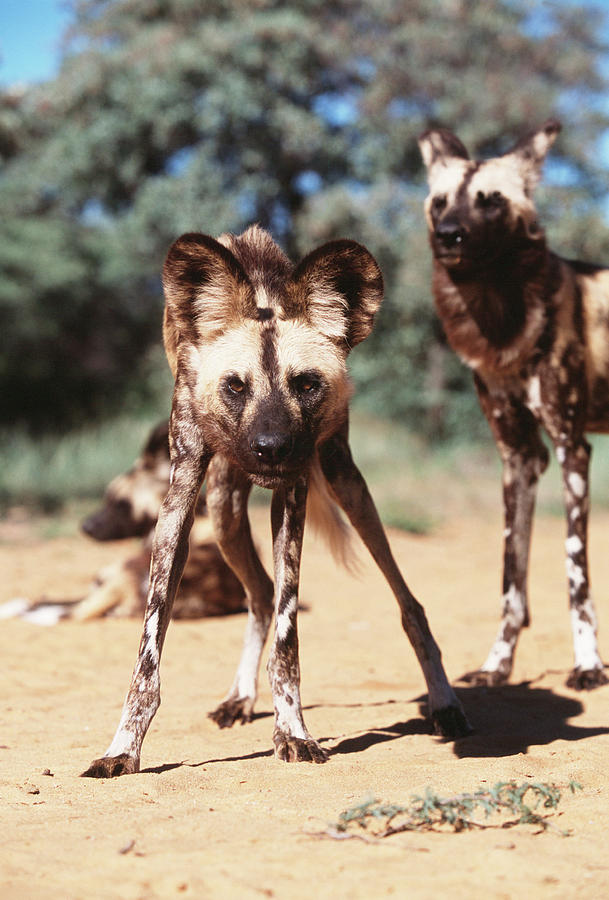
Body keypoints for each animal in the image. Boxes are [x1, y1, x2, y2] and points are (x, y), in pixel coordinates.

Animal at [82, 227, 470, 780]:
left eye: (305, 384)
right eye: (234, 386)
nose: (270, 448)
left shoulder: (293, 492)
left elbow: (288, 640)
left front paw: (293, 732)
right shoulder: (180, 501)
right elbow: (149, 650)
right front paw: (123, 748)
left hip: (347, 483)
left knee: (407, 603)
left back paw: (445, 704)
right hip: (224, 510)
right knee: (261, 593)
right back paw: (240, 697)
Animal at [418, 119, 608, 692]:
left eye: (491, 201)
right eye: (440, 202)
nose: (449, 235)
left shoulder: (572, 449)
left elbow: (576, 578)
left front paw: (588, 666)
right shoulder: (520, 458)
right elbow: (511, 584)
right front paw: (496, 666)